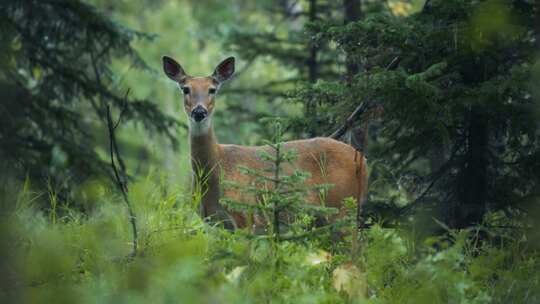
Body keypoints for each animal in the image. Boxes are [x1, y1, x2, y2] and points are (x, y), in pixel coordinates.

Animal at [161, 55, 368, 229]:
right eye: (185, 89)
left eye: (212, 90)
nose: (199, 111)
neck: (215, 168)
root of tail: (363, 161)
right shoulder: (213, 222)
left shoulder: (245, 217)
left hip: (343, 205)